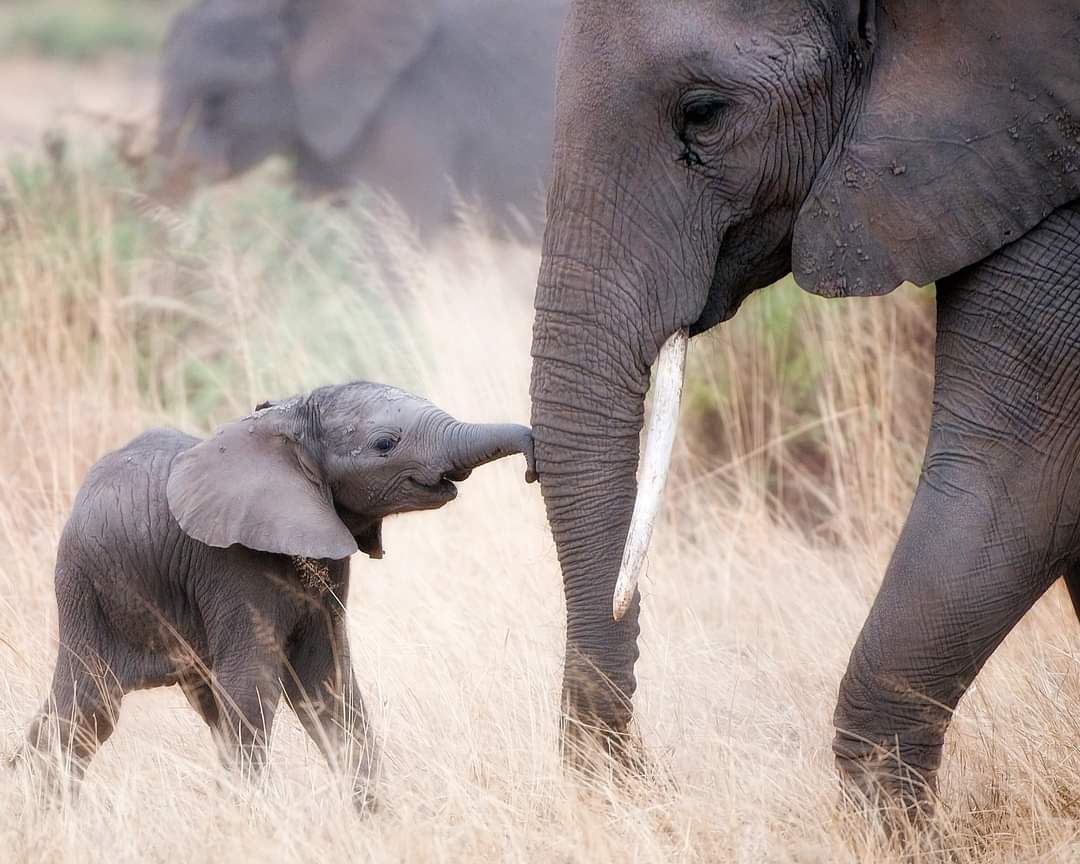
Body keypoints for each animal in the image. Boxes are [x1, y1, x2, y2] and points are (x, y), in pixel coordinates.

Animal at [12, 380, 535, 812]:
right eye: (385, 444)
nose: (532, 460)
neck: (288, 419)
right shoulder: (230, 566)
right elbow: (253, 689)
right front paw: (248, 822)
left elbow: (327, 683)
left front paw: (375, 821)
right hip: (86, 589)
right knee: (89, 709)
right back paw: (50, 818)